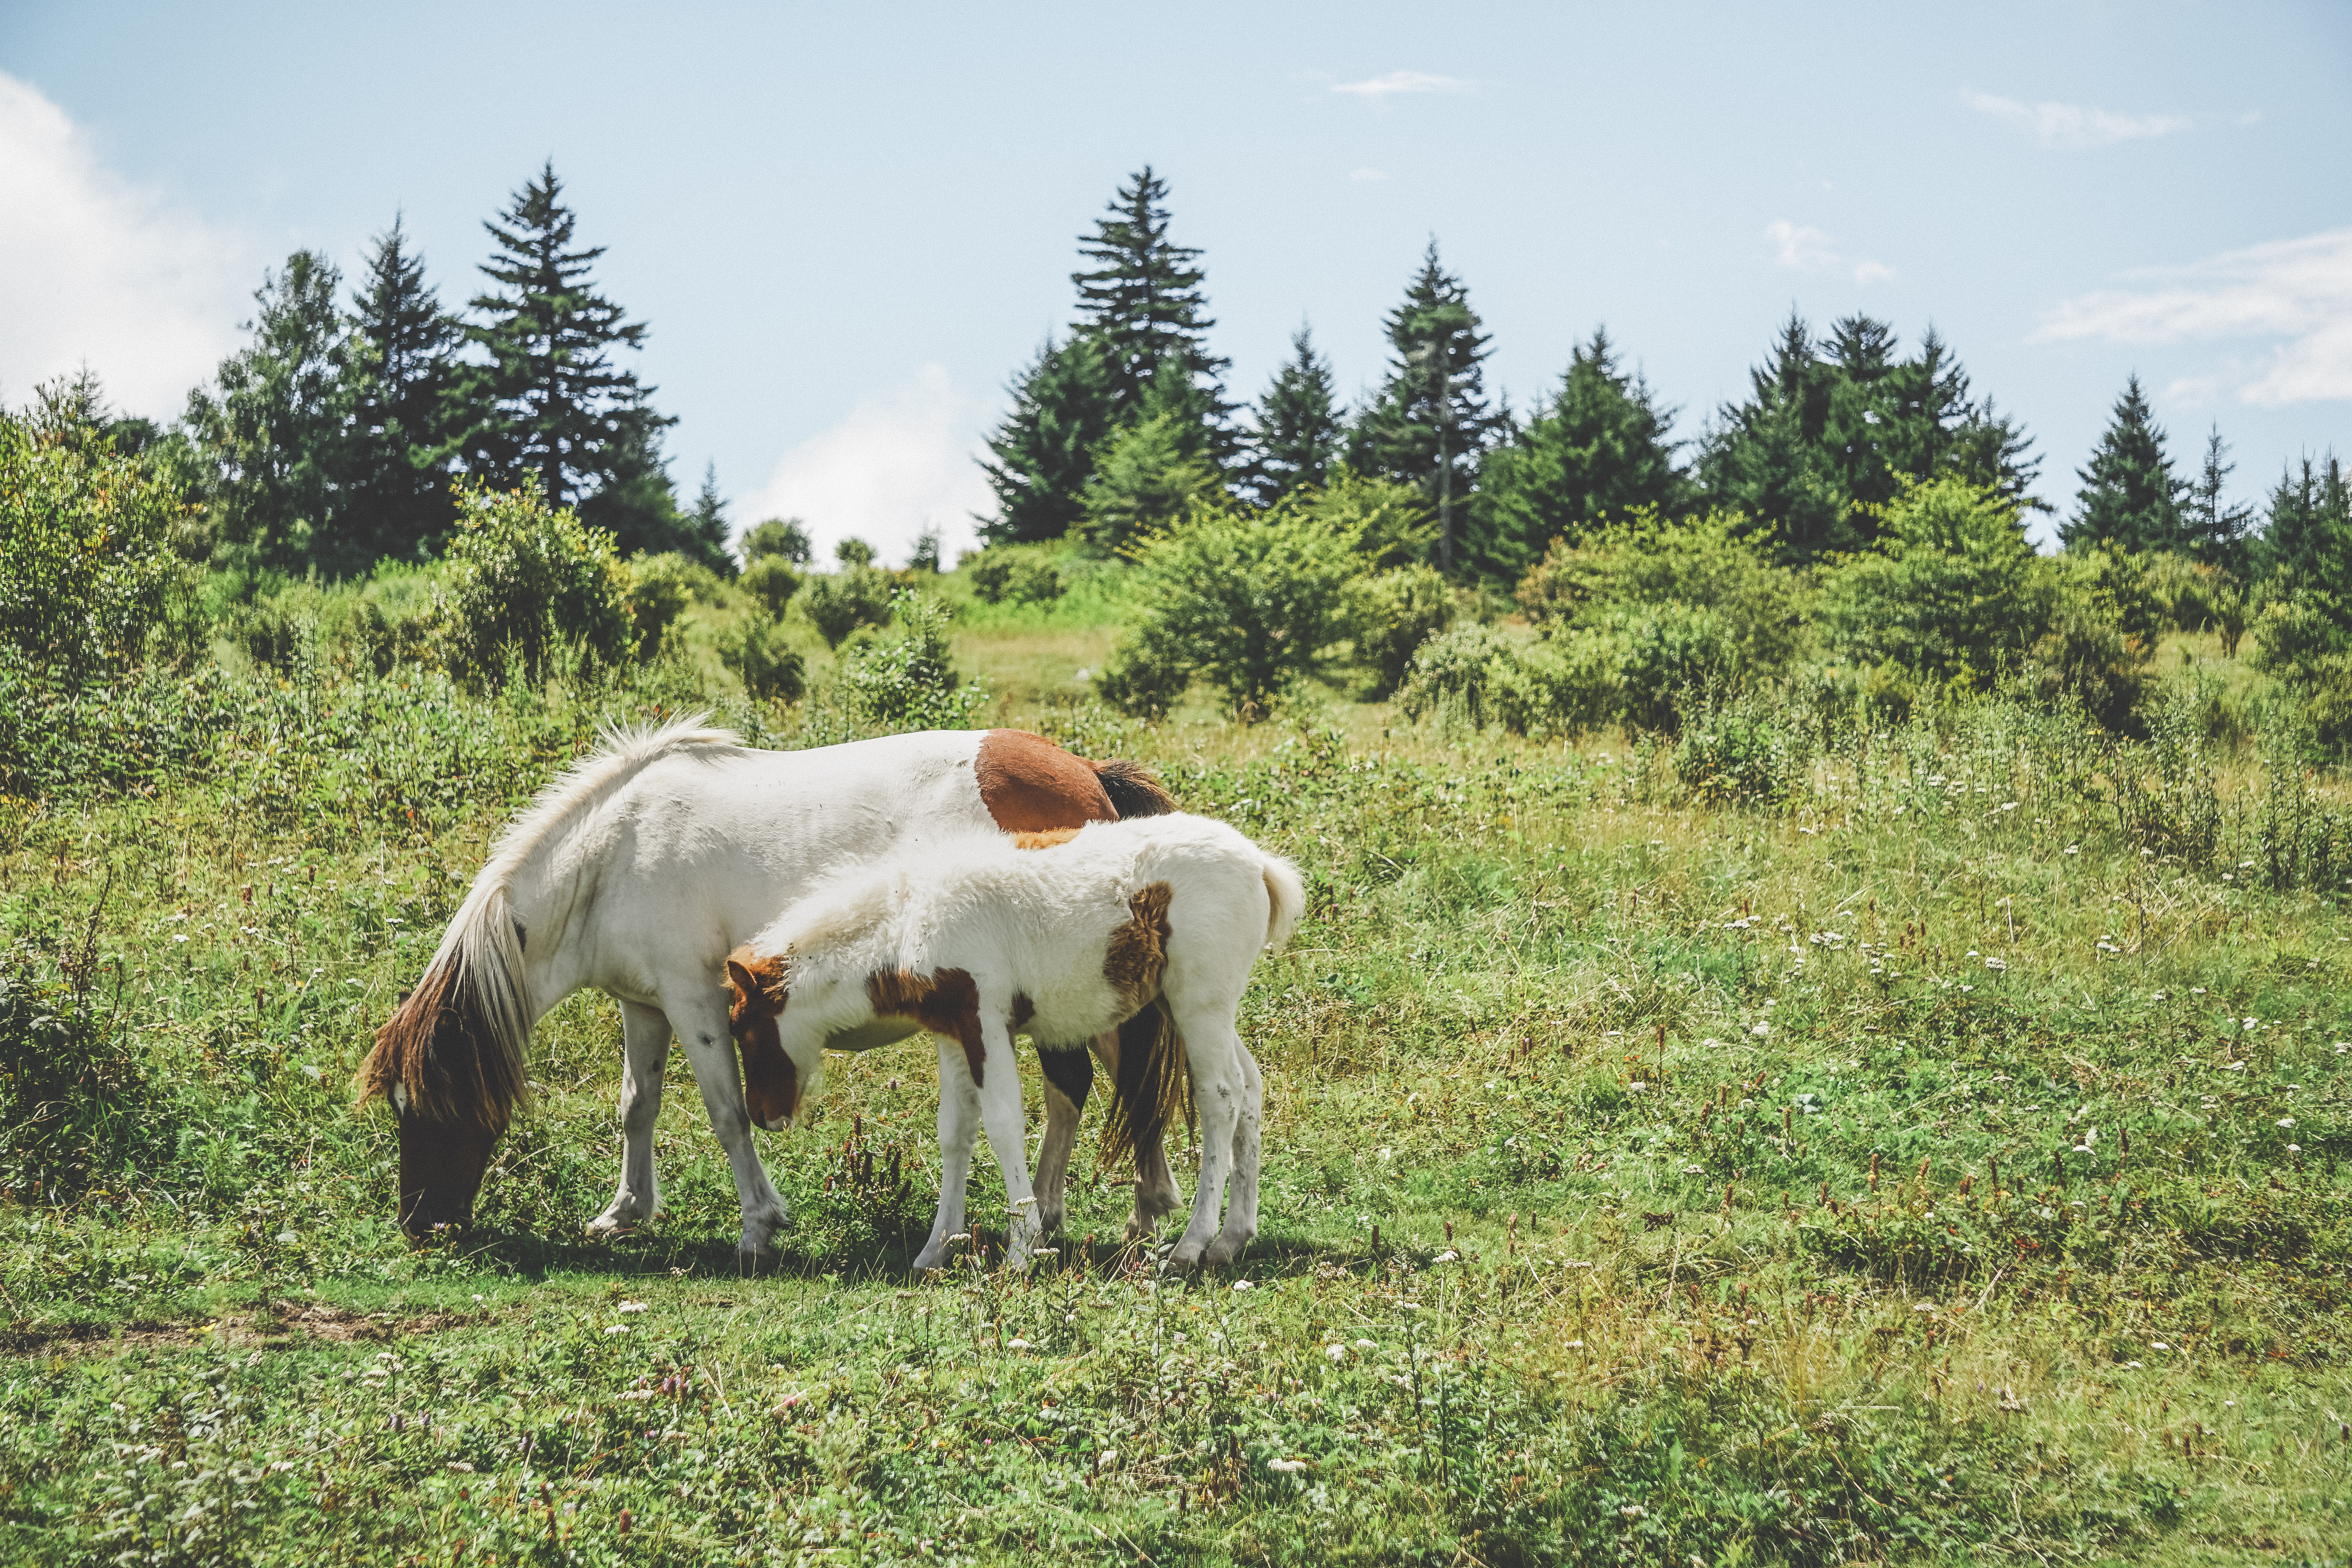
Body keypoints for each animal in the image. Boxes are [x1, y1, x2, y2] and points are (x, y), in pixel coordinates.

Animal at [355, 718, 1190, 1261]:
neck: (614, 854)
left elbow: (727, 1113)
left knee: (1112, 1077)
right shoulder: (643, 1005)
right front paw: (625, 1212)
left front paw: (759, 1224)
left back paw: (1116, 1214)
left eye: (427, 1109)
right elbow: (637, 1107)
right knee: (1102, 1080)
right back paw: (1102, 1211)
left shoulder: (695, 1001)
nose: (420, 1225)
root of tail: (1084, 770)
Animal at [725, 814, 1303, 1270]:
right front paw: (937, 1249)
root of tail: (1259, 864)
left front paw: (1022, 1251)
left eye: (742, 1027)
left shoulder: (987, 1021)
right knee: (1250, 1087)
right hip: (1194, 1008)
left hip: (1198, 1005)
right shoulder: (953, 1033)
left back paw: (1192, 1245)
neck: (911, 920)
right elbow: (955, 1133)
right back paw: (1232, 1239)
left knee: (1220, 1097)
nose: (762, 1115)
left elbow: (1004, 1125)